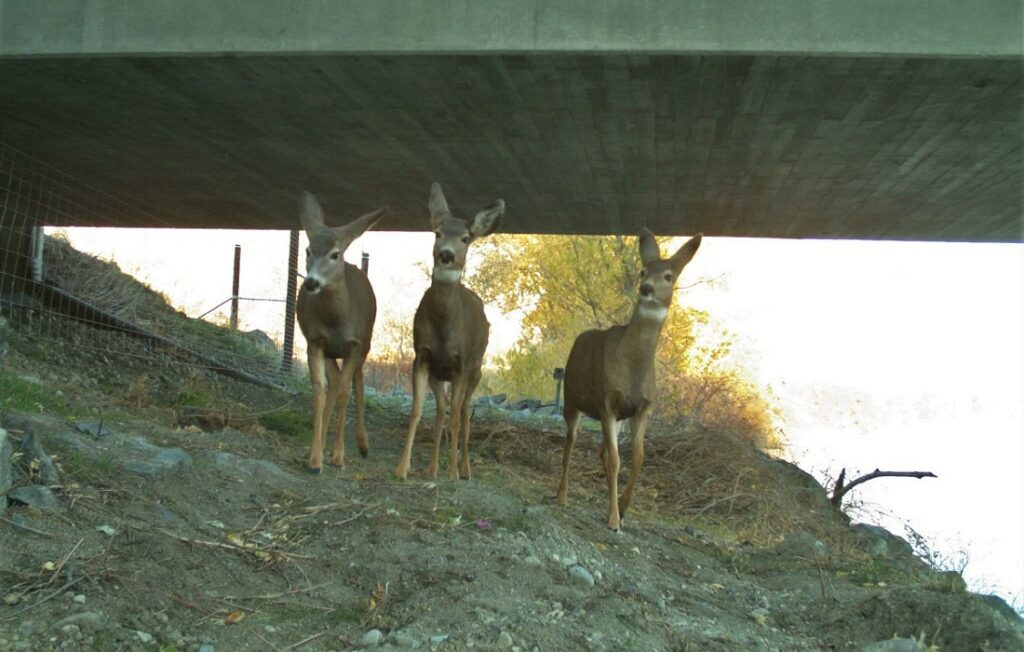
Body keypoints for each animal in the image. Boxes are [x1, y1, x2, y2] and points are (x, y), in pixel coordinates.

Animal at [294, 192, 385, 472]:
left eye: (335, 254)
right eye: (308, 250)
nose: (311, 282)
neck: (336, 321)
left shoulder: (355, 344)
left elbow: (346, 391)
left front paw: (338, 455)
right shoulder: (314, 342)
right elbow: (320, 389)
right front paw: (315, 459)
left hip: (366, 342)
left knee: (357, 380)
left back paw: (363, 445)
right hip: (330, 352)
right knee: (333, 382)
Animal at [391, 180, 503, 481]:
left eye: (465, 238)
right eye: (437, 232)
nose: (446, 254)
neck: (444, 327)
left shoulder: (460, 363)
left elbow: (455, 417)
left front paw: (452, 472)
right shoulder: (422, 356)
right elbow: (417, 411)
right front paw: (402, 469)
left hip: (476, 369)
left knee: (462, 412)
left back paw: (464, 469)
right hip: (439, 374)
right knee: (442, 410)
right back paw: (431, 469)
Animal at [557, 227, 700, 528]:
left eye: (669, 276)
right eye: (643, 271)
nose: (646, 288)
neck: (633, 368)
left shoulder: (642, 407)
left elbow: (638, 457)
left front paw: (622, 507)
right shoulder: (606, 402)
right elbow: (615, 460)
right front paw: (614, 518)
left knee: (599, 450)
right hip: (571, 398)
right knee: (571, 441)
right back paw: (561, 495)